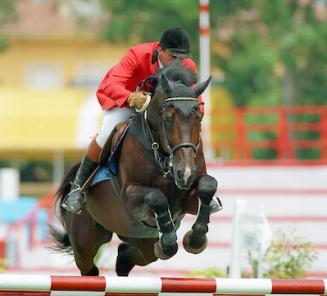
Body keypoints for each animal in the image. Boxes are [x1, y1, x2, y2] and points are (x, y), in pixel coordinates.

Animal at [50, 62, 218, 278]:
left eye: (199, 117)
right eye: (169, 118)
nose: (186, 172)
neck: (163, 157)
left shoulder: (186, 199)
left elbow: (208, 185)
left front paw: (195, 239)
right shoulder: (130, 196)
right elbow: (156, 197)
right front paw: (170, 240)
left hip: (142, 240)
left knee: (128, 255)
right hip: (84, 241)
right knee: (89, 266)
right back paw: (75, 199)